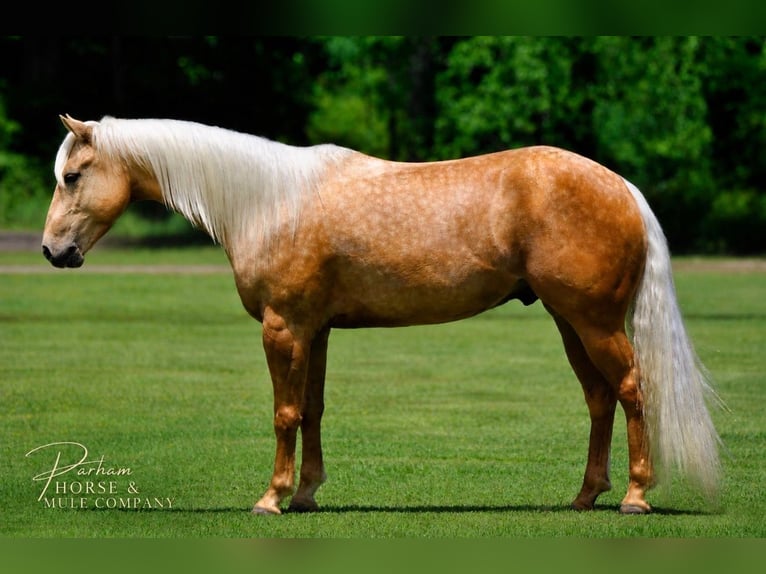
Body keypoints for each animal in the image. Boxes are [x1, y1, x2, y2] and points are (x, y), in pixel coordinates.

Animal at [42, 114, 722, 515]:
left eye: (73, 175)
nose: (53, 252)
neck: (270, 200)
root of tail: (622, 187)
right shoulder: (313, 330)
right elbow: (311, 409)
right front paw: (307, 493)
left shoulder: (283, 326)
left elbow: (284, 413)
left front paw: (272, 498)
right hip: (569, 321)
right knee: (599, 399)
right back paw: (585, 496)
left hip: (594, 321)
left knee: (632, 391)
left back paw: (635, 495)